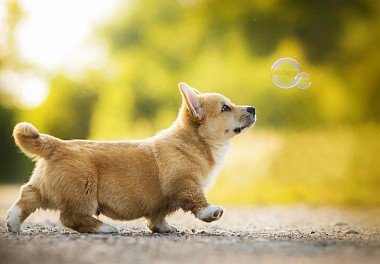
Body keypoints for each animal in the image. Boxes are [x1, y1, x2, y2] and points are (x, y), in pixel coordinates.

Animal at [7, 82, 255, 233]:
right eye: (225, 108)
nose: (252, 108)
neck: (196, 142)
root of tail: (57, 145)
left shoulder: (161, 202)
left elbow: (158, 216)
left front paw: (164, 229)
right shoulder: (185, 184)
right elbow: (197, 200)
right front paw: (211, 212)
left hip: (46, 188)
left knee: (27, 195)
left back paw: (12, 222)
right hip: (83, 190)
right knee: (70, 217)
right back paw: (104, 228)